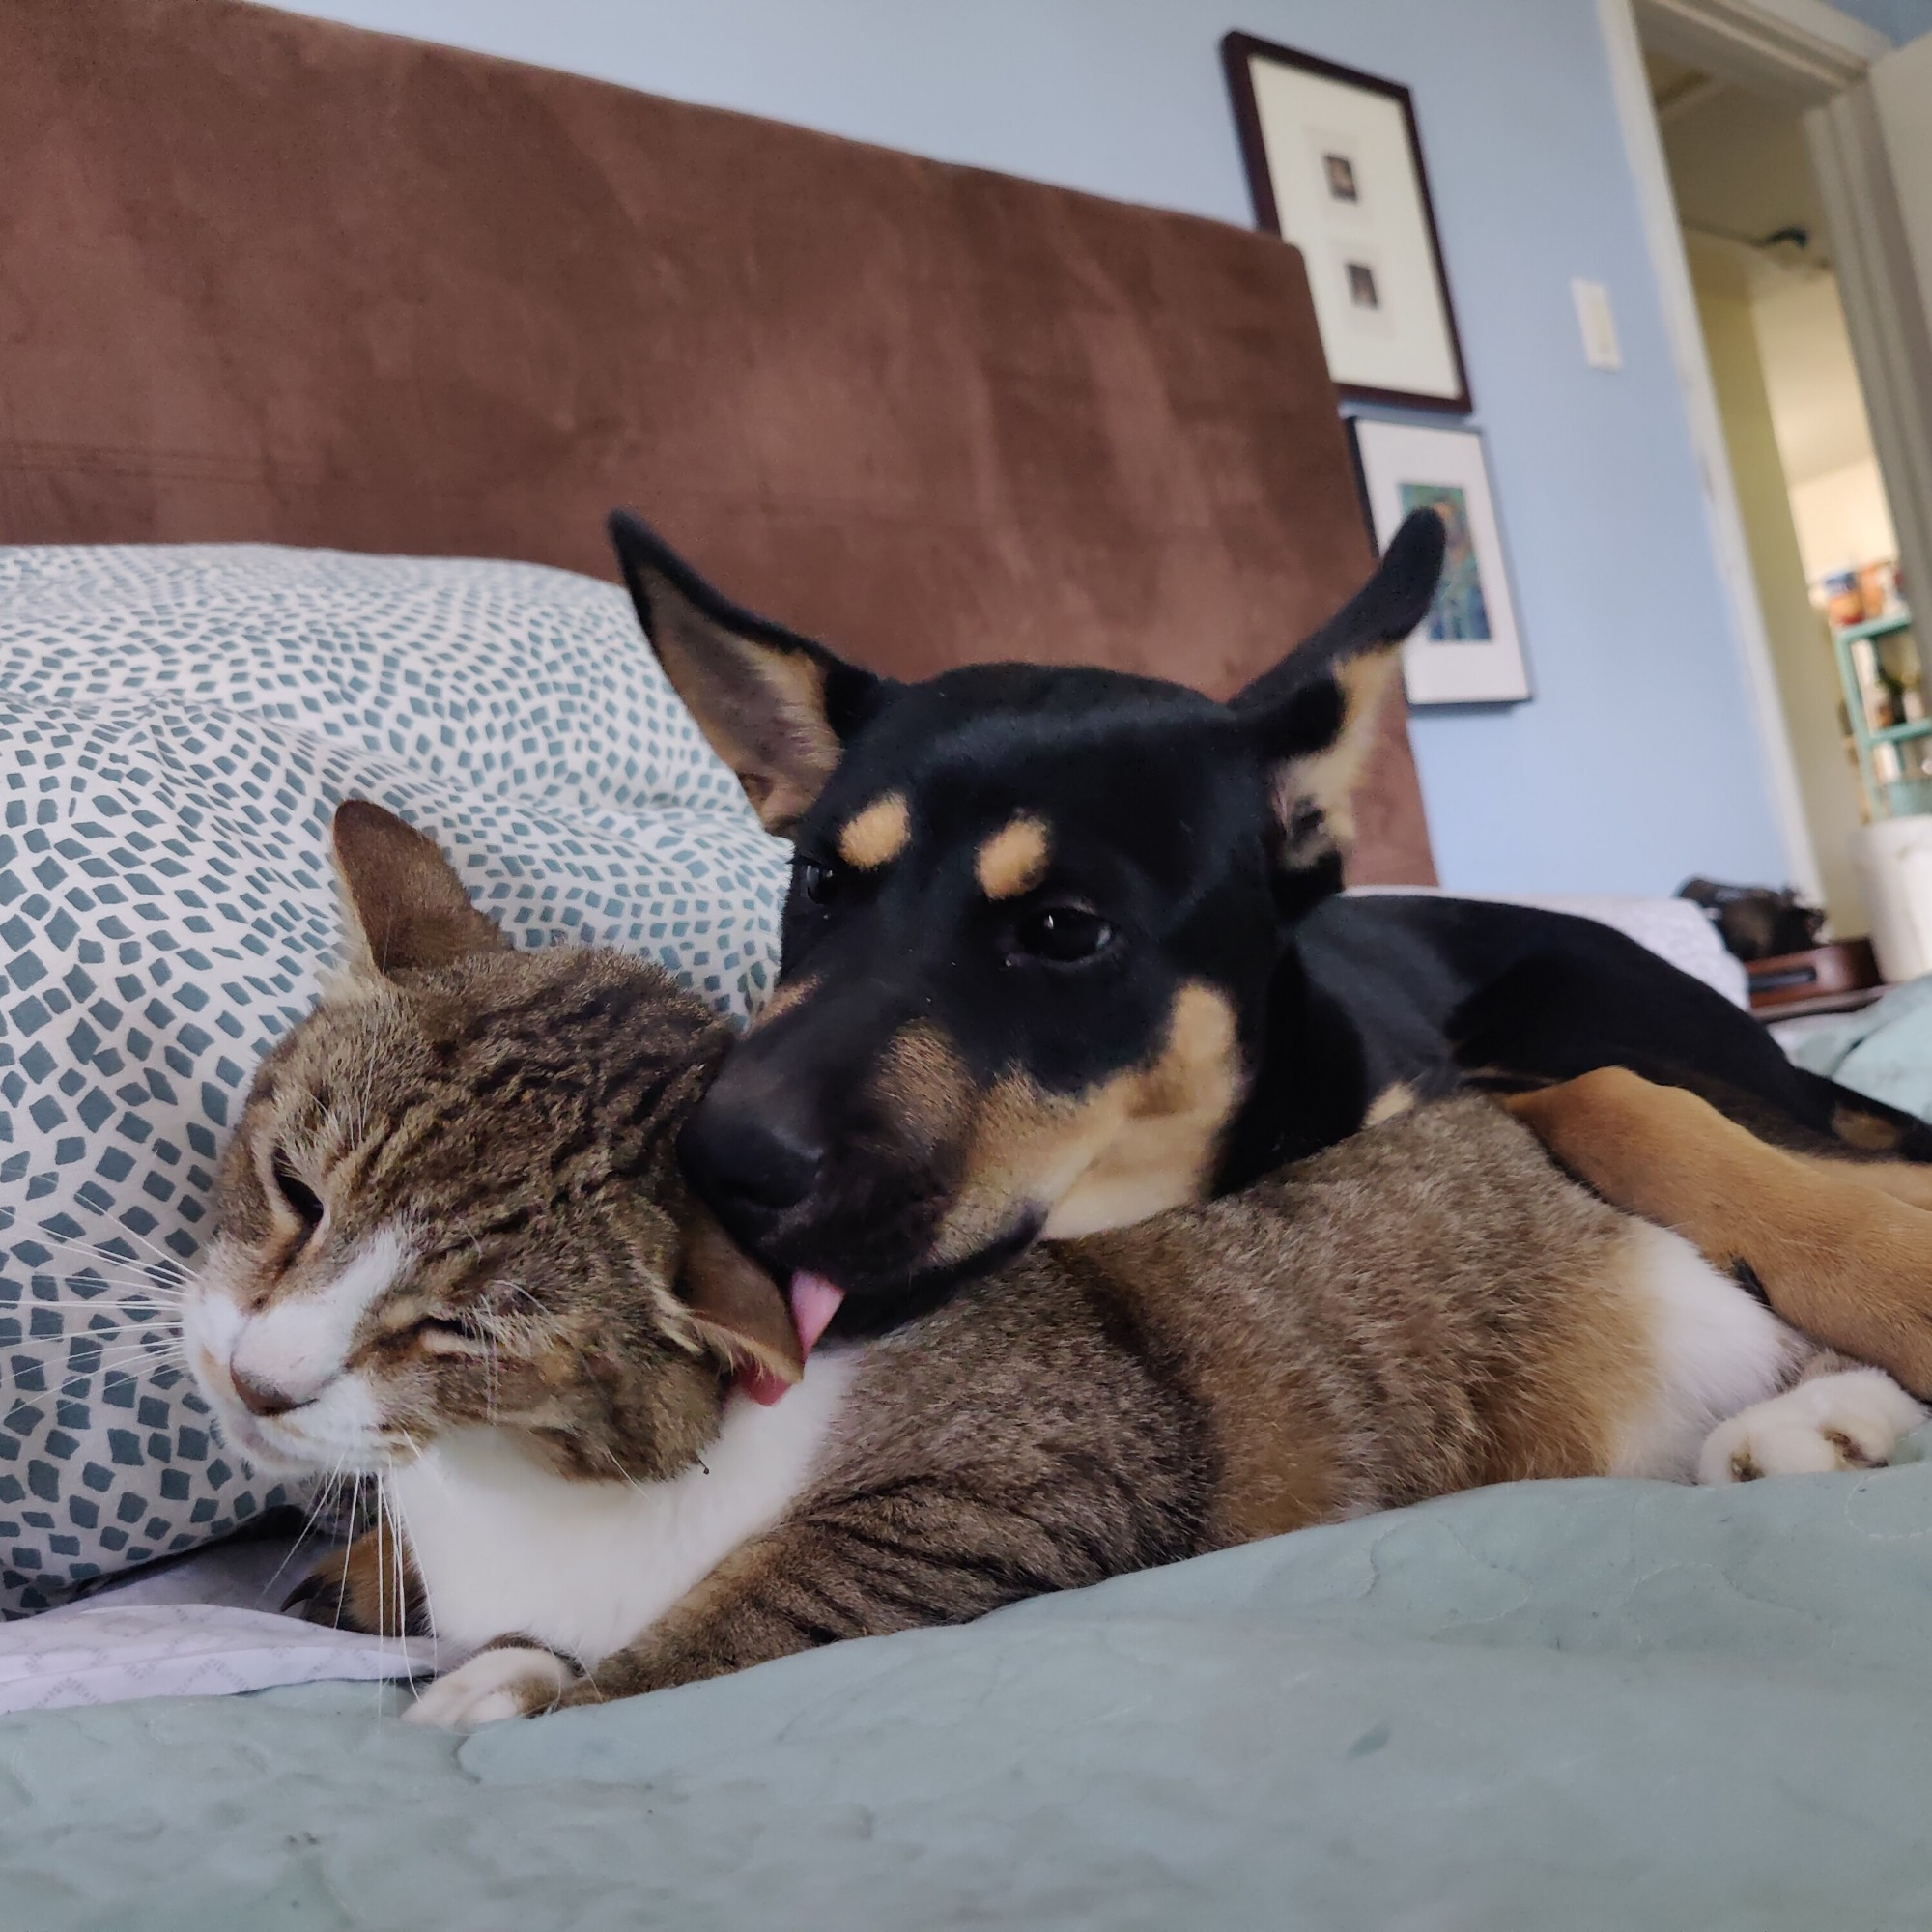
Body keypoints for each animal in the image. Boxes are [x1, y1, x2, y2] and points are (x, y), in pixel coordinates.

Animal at [185, 808, 1932, 1731]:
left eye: (464, 1326)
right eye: (292, 1189)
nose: (249, 1381)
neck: (513, 1493)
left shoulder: (1042, 1473)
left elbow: (745, 1612)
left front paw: (530, 1696)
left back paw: (1821, 1420)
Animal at [611, 506, 1932, 1376]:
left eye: (1063, 930)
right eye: (820, 881)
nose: (721, 1163)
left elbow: (1618, 1103)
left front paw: (1882, 1267)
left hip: (1567, 996)